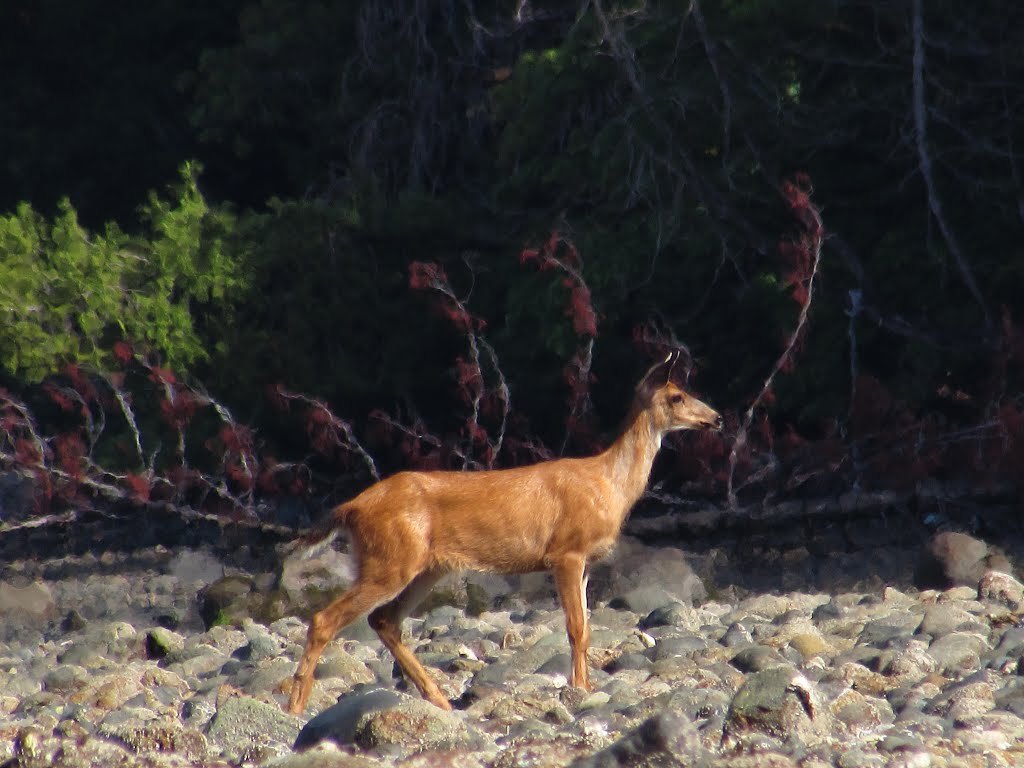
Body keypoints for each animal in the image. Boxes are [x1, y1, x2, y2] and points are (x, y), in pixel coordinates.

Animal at [284, 354, 724, 716]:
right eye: (677, 396)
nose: (717, 418)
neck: (608, 485)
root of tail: (351, 506)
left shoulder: (585, 562)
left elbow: (586, 629)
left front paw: (585, 687)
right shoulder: (566, 551)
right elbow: (575, 628)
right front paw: (580, 691)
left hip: (425, 567)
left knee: (383, 620)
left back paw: (440, 700)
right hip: (390, 558)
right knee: (325, 618)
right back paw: (295, 707)